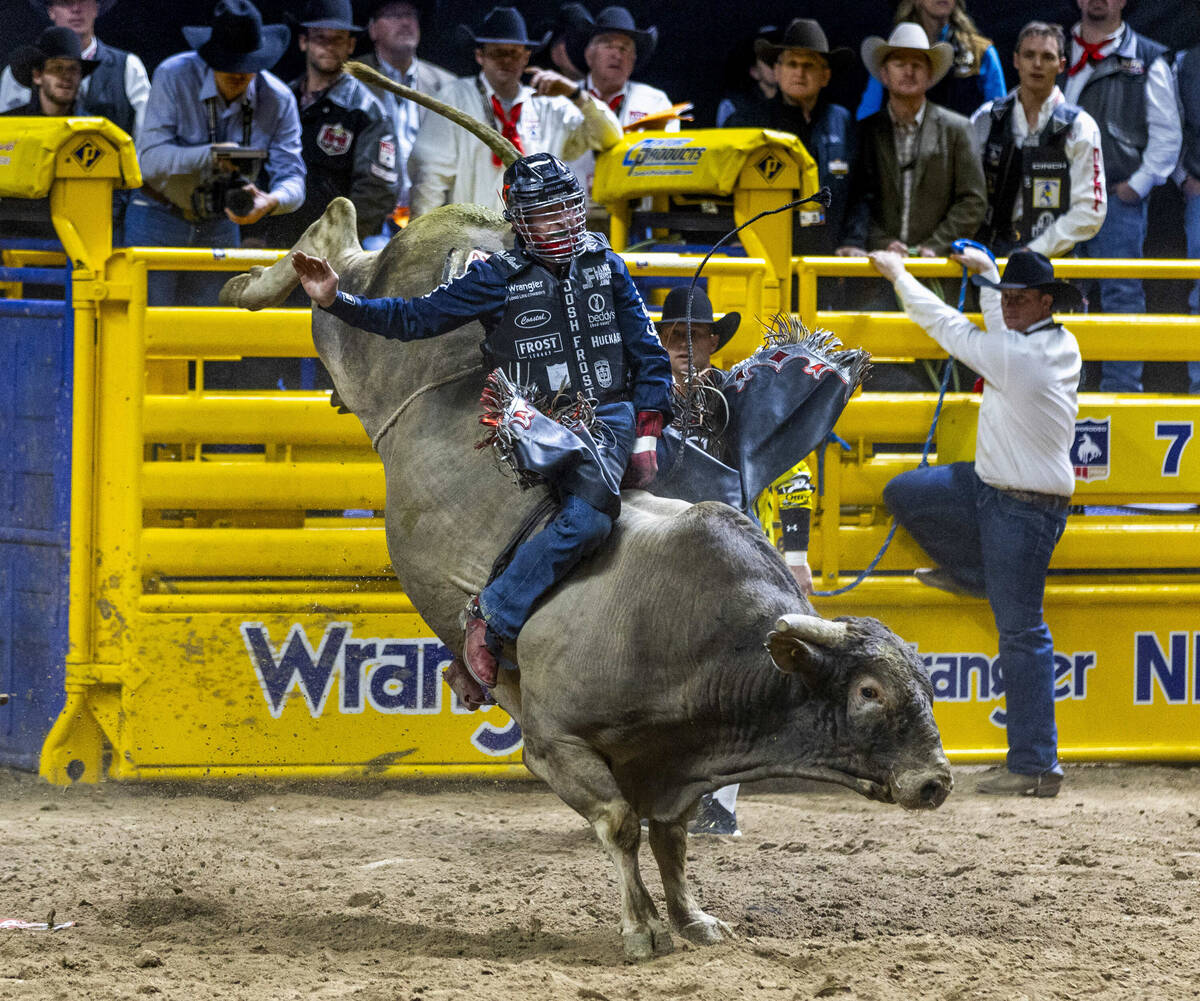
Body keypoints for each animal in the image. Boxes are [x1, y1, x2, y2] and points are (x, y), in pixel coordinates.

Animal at [220, 64, 950, 960]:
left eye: (924, 679)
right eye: (870, 691)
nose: (937, 779)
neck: (695, 637)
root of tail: (494, 230)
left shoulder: (674, 768)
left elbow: (671, 836)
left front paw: (692, 917)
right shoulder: (554, 741)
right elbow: (619, 824)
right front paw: (640, 929)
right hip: (362, 338)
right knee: (340, 259)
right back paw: (258, 276)